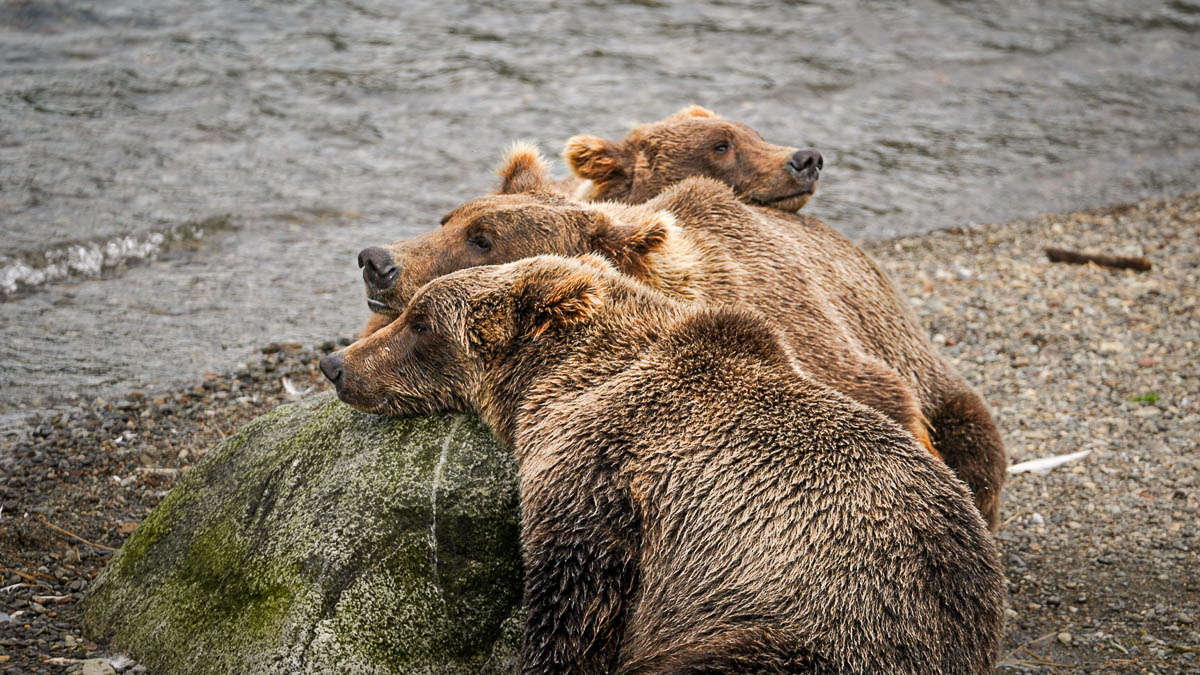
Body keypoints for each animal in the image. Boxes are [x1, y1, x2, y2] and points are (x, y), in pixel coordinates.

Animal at [319, 253, 1003, 672]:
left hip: (812, 629)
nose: (335, 363)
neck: (563, 384)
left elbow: (574, 599)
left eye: (421, 323)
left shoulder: (603, 468)